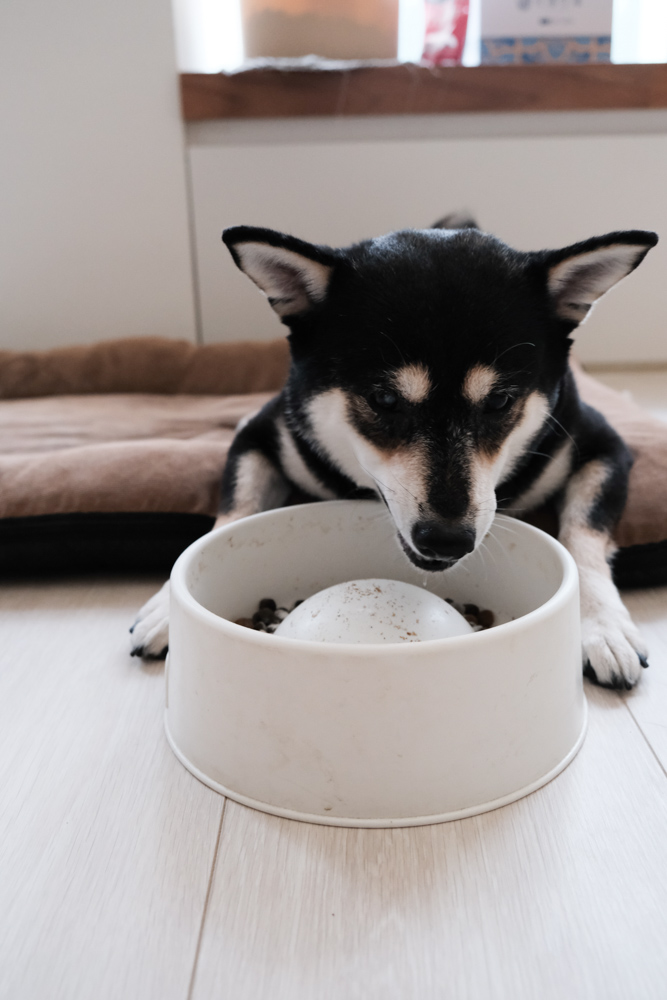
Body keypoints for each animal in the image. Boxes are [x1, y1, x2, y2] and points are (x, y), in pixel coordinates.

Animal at [130, 218, 656, 688]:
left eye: (501, 402)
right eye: (383, 399)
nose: (447, 539)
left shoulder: (602, 445)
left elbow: (583, 535)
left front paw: (601, 624)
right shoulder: (258, 434)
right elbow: (233, 513)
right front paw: (168, 607)